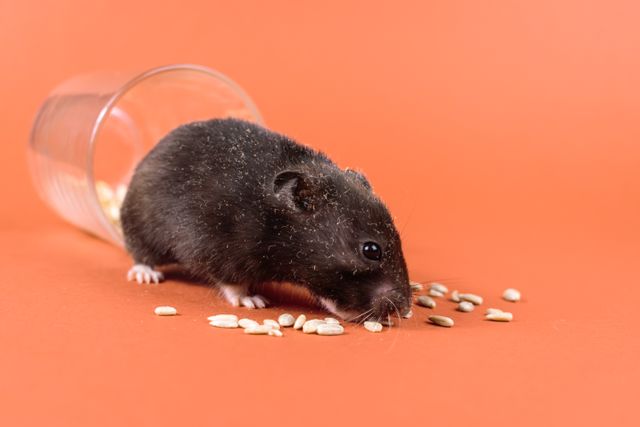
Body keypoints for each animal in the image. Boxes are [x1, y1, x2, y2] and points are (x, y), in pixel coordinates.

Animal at [120, 118, 411, 321]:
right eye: (371, 250)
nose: (406, 308)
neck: (275, 223)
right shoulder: (220, 251)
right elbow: (233, 284)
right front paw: (254, 301)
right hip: (142, 226)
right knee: (140, 254)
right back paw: (147, 275)